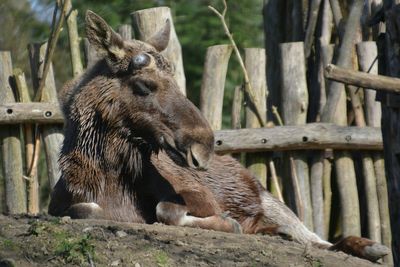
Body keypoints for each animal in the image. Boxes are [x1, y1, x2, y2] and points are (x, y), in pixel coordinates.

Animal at [48, 9, 390, 262]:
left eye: (176, 80)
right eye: (144, 84)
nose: (203, 147)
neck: (110, 179)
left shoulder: (201, 196)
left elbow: (165, 211)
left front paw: (227, 222)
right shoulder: (66, 205)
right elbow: (85, 209)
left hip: (271, 200)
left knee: (319, 240)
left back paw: (371, 246)